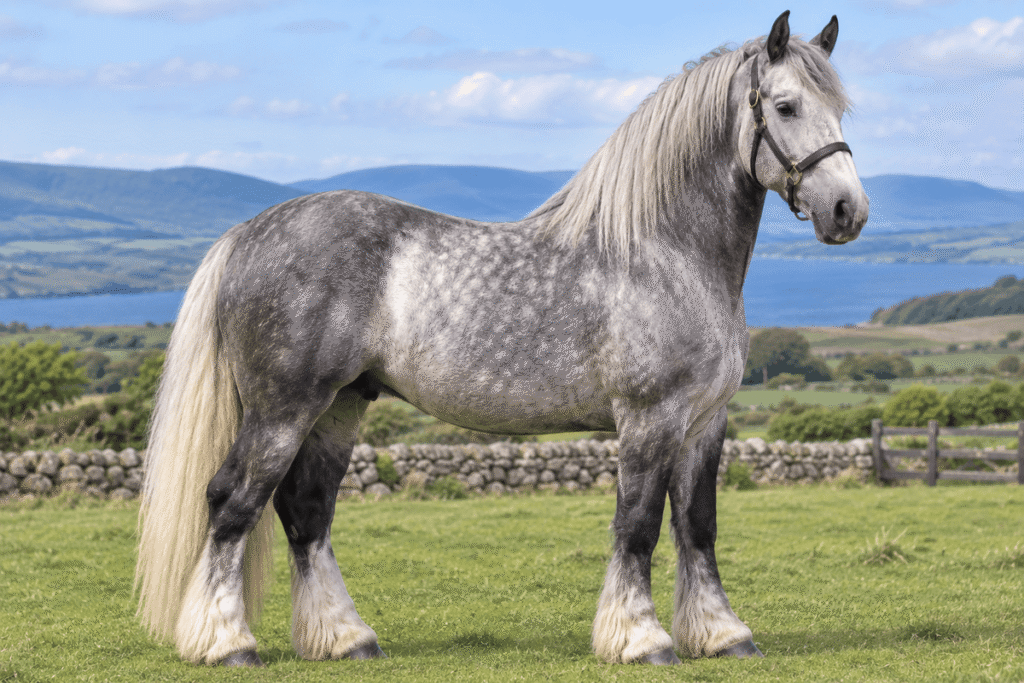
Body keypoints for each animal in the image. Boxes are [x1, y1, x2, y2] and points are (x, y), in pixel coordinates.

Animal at [135, 10, 868, 667]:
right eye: (785, 105)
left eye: (841, 109)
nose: (848, 211)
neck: (664, 253)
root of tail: (246, 233)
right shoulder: (649, 419)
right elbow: (637, 526)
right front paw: (641, 639)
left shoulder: (705, 421)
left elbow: (699, 526)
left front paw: (721, 634)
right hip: (283, 409)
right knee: (233, 501)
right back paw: (227, 643)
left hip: (338, 407)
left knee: (306, 510)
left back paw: (346, 638)